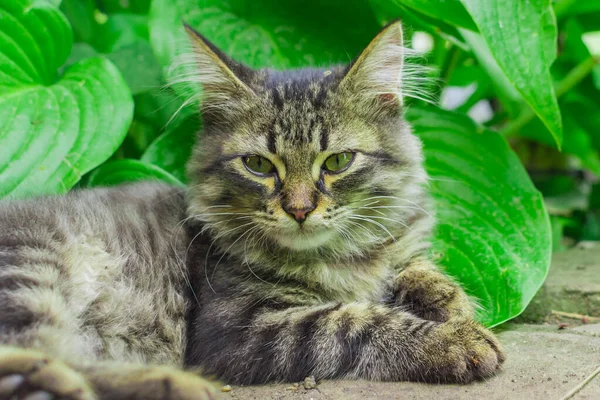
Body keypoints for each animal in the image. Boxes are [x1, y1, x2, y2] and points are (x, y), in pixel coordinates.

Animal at [0, 21, 504, 400]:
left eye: (337, 162)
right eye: (259, 165)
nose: (299, 210)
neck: (343, 257)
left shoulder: (396, 249)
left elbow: (417, 269)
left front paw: (452, 304)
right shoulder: (237, 328)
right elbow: (351, 321)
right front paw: (456, 339)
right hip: (33, 270)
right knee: (40, 355)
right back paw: (168, 383)